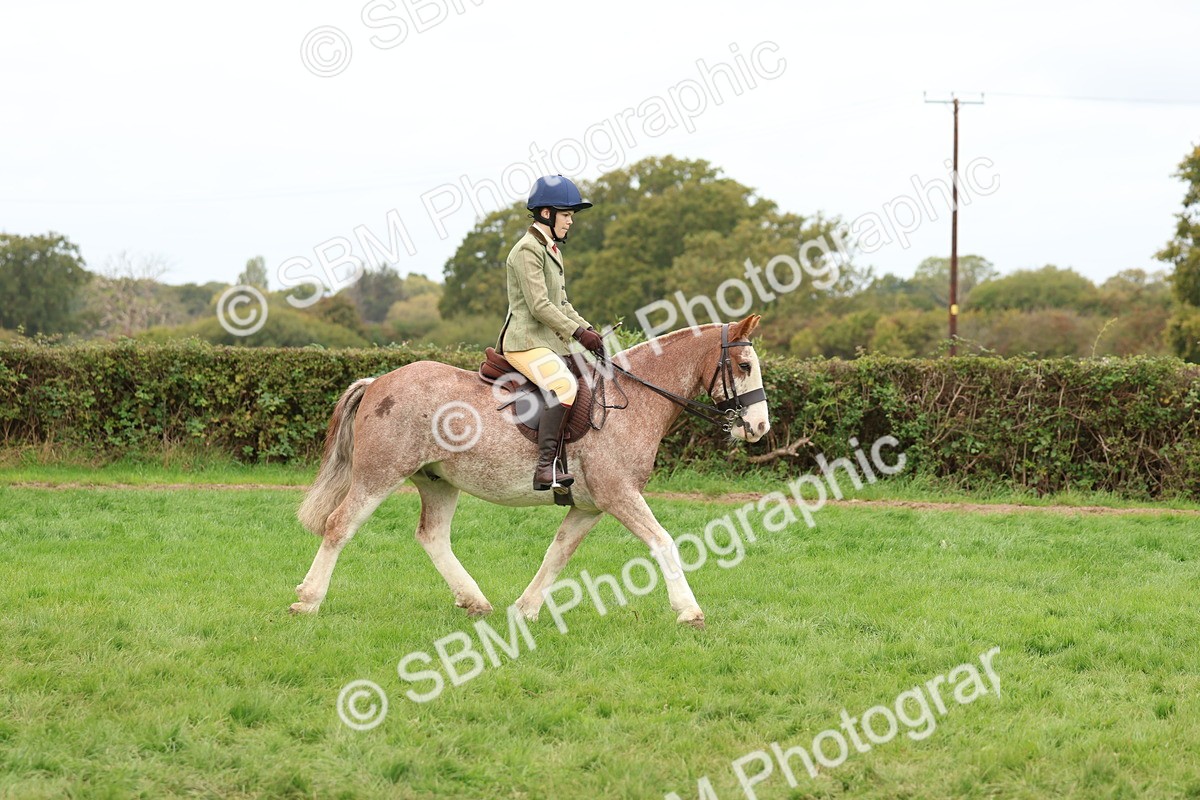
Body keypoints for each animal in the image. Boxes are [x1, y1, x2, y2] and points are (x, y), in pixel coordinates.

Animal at [290, 314, 770, 628]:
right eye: (745, 366)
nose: (760, 428)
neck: (632, 399)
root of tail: (378, 382)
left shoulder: (590, 506)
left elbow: (557, 554)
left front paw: (526, 609)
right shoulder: (619, 495)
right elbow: (663, 541)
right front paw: (689, 611)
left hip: (438, 481)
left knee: (432, 536)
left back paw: (474, 601)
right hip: (379, 475)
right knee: (339, 525)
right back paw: (308, 601)